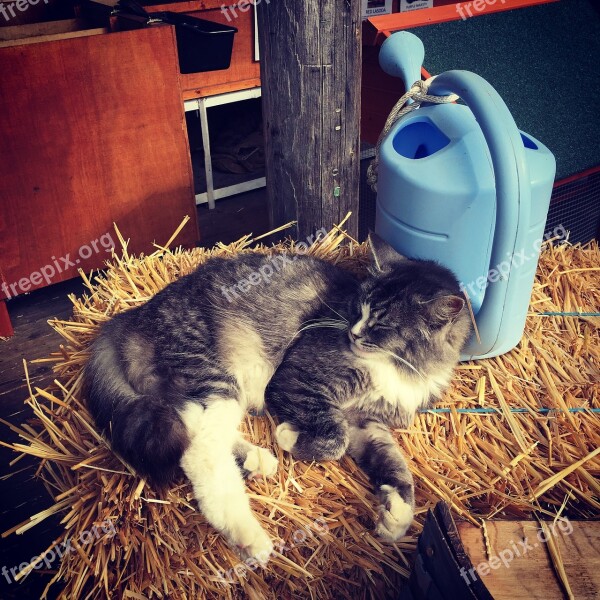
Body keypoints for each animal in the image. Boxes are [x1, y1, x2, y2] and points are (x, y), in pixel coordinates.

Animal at [83, 233, 468, 564]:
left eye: (383, 324)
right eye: (358, 308)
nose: (353, 332)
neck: (400, 367)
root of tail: (133, 316)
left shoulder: (368, 421)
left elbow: (393, 462)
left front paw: (397, 514)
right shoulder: (296, 379)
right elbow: (335, 438)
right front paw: (289, 436)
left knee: (194, 427)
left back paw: (255, 460)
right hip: (214, 378)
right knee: (198, 451)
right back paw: (248, 536)